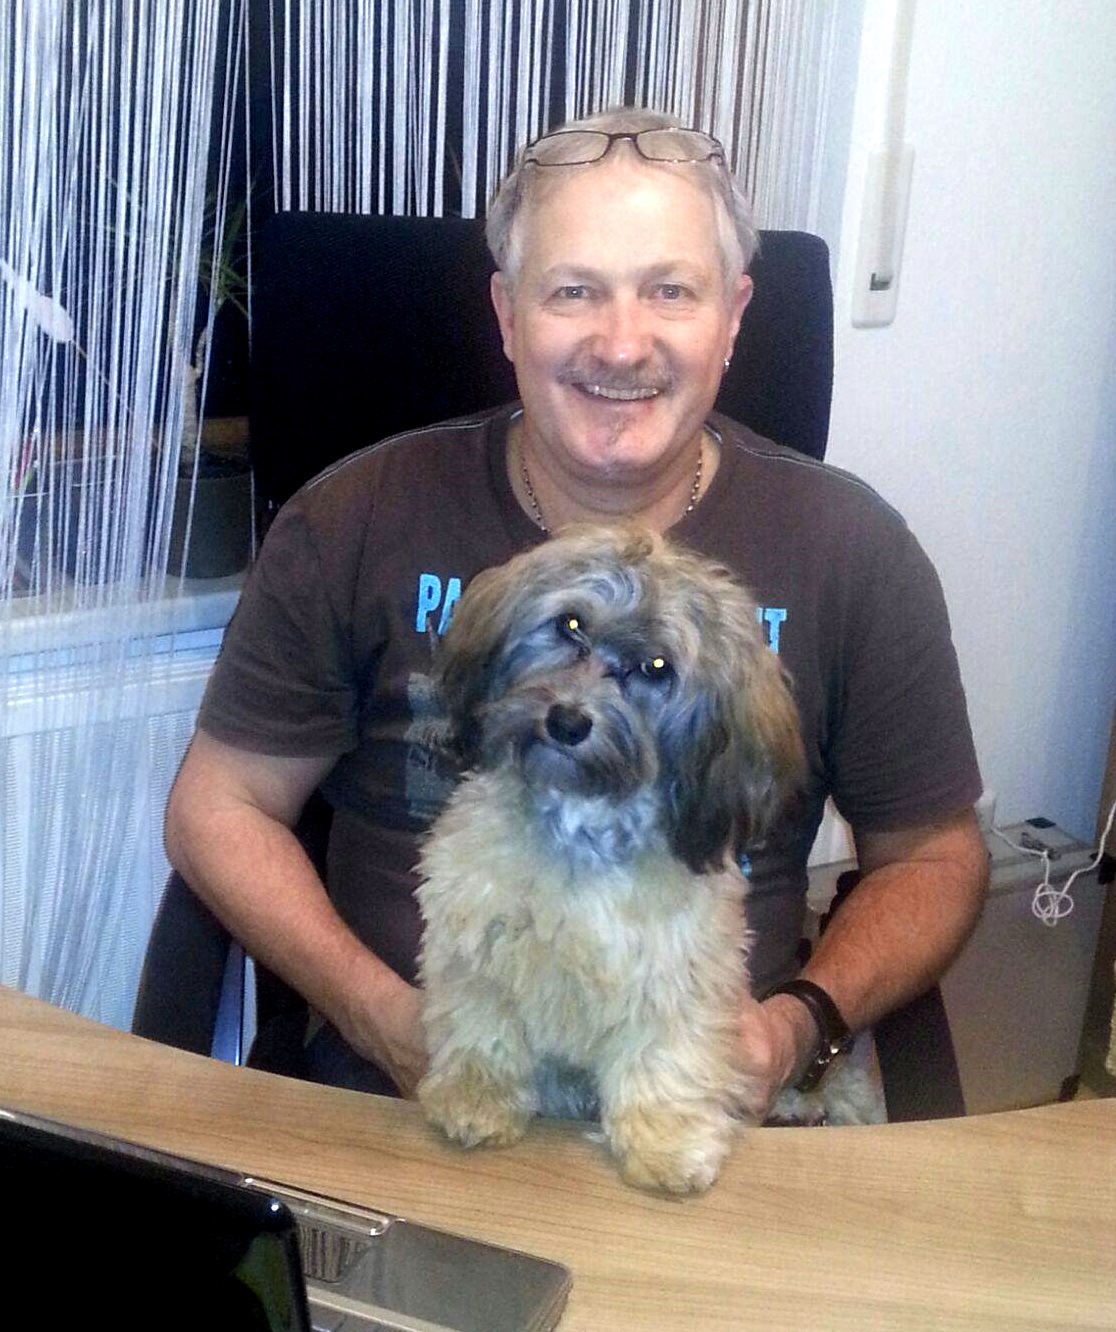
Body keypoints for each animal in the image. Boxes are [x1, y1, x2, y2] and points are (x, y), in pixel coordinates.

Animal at [415, 524, 863, 1195]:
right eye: (571, 624)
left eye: (657, 668)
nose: (567, 721)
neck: (581, 826)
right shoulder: (475, 944)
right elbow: (483, 1027)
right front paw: (477, 1098)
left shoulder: (678, 975)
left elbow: (665, 1060)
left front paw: (667, 1143)